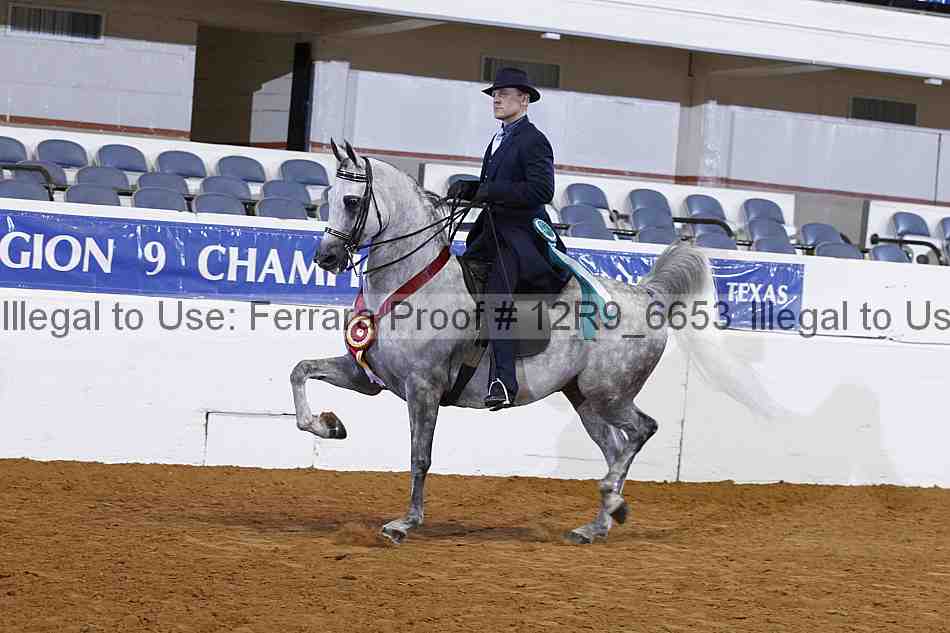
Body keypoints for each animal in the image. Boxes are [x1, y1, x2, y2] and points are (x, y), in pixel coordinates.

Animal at [291, 140, 778, 545]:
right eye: (328, 199)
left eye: (352, 201)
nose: (325, 258)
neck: (412, 282)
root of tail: (648, 296)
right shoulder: (369, 376)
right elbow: (300, 370)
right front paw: (328, 425)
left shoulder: (423, 387)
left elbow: (420, 457)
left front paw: (404, 524)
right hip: (585, 399)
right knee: (616, 446)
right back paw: (599, 522)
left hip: (609, 393)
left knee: (641, 431)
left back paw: (612, 501)